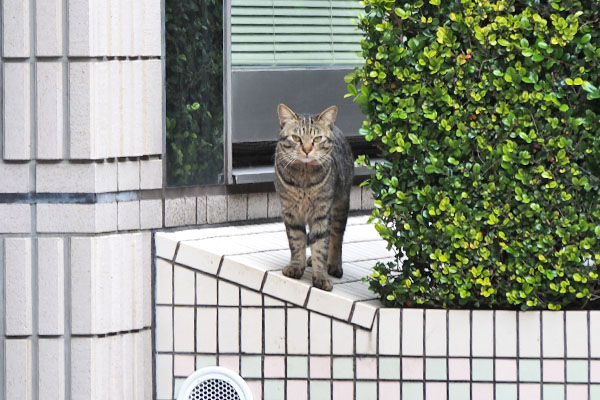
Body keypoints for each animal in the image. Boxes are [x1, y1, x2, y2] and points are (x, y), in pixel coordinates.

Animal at [276, 103, 354, 290]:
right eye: (296, 138)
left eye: (317, 139)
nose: (307, 149)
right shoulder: (290, 211)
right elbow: (297, 241)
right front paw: (296, 266)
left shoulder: (321, 212)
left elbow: (321, 245)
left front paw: (320, 276)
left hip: (340, 205)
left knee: (336, 237)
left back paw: (334, 265)